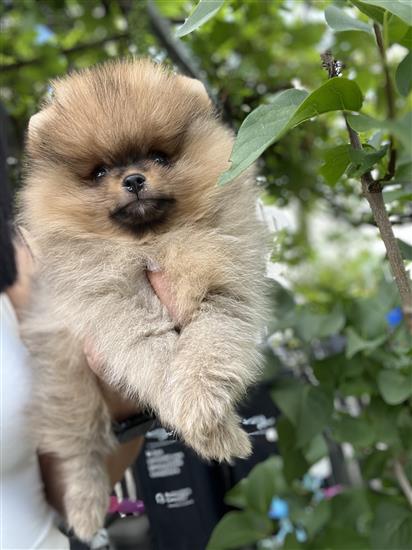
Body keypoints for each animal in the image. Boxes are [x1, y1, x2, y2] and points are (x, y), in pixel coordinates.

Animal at [20, 58, 268, 540]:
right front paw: (213, 426)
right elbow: (153, 352)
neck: (151, 243)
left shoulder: (224, 287)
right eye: (100, 172)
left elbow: (209, 348)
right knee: (78, 447)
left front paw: (206, 413)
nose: (134, 179)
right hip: (65, 382)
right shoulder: (111, 305)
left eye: (158, 157)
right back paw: (85, 505)